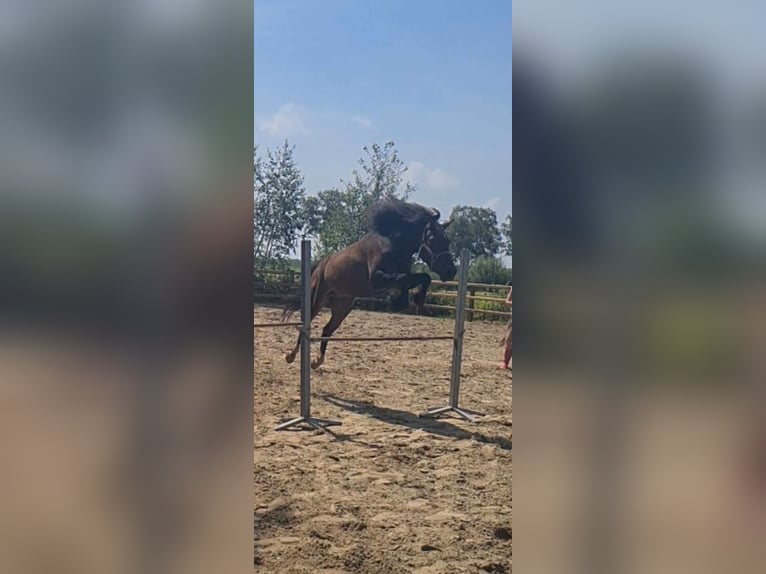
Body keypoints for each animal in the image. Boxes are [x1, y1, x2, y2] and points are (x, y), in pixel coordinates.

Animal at [284, 197, 460, 368]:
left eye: (448, 241)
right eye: (431, 239)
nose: (451, 271)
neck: (393, 245)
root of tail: (320, 265)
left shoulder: (404, 276)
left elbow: (423, 277)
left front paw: (417, 301)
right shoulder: (376, 279)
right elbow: (403, 279)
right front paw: (400, 303)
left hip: (342, 306)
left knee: (327, 329)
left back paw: (316, 361)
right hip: (316, 299)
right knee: (305, 322)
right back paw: (291, 355)